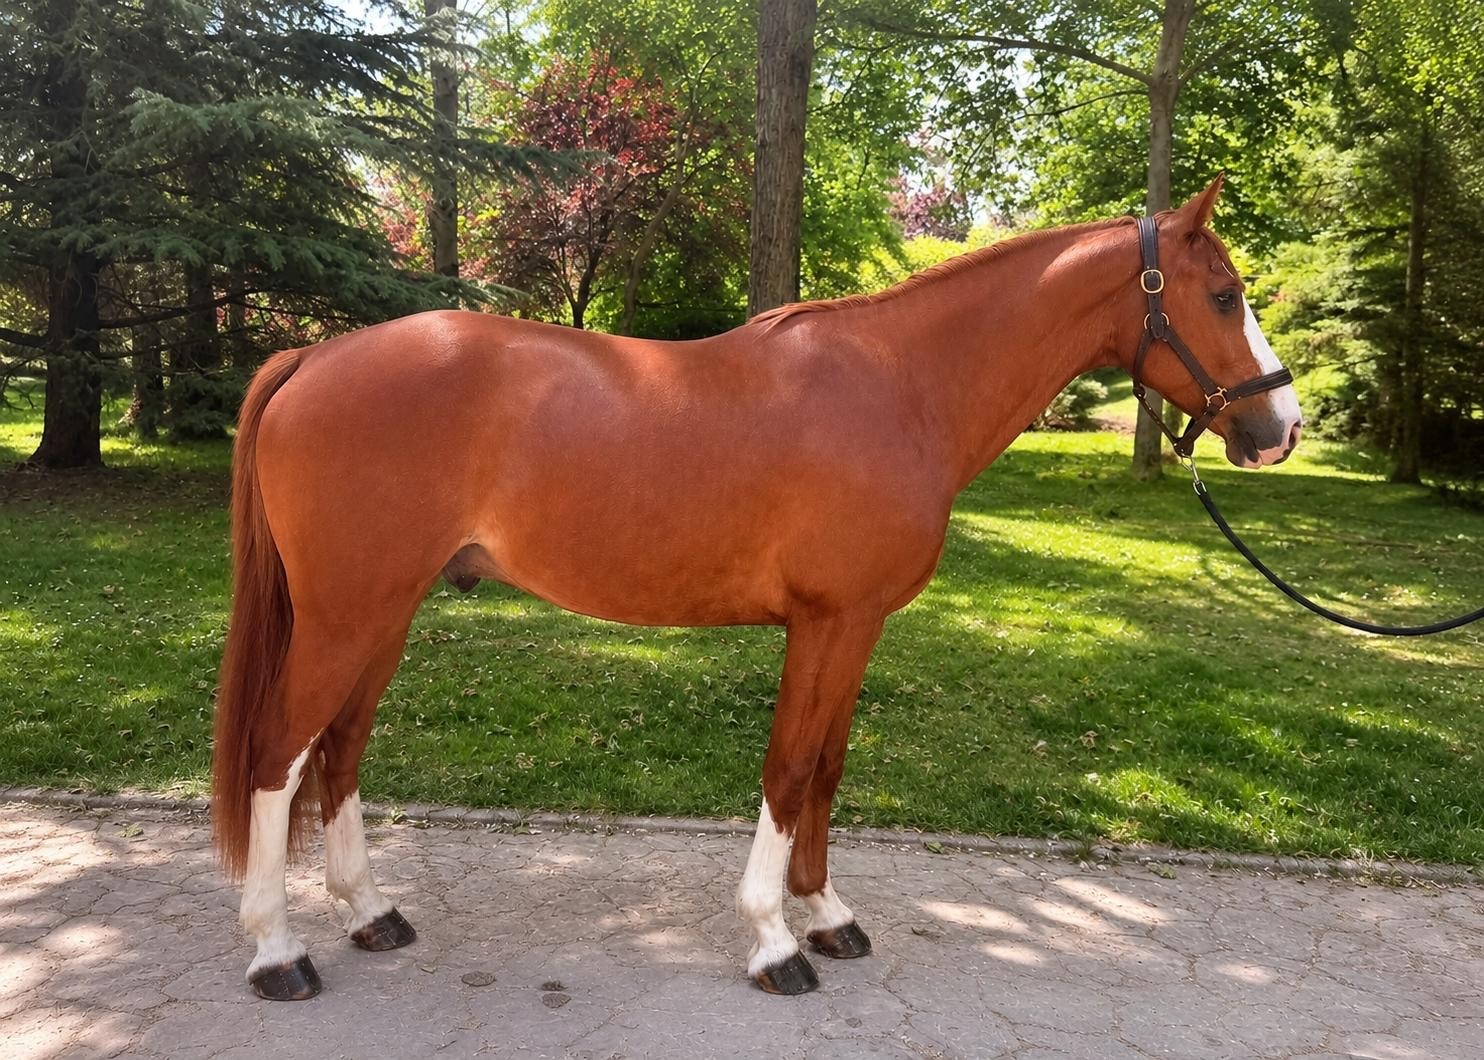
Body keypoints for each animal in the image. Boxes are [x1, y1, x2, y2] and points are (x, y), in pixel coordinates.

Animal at [212, 176, 1303, 1000]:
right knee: (276, 756)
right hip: (347, 616)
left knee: (339, 753)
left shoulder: (855, 627)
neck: (898, 386)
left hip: (383, 616)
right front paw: (775, 941)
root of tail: (314, 353)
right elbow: (789, 769)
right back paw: (277, 952)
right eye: (1222, 293)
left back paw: (370, 914)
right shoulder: (826, 622)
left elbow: (826, 767)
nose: (1280, 427)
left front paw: (827, 917)